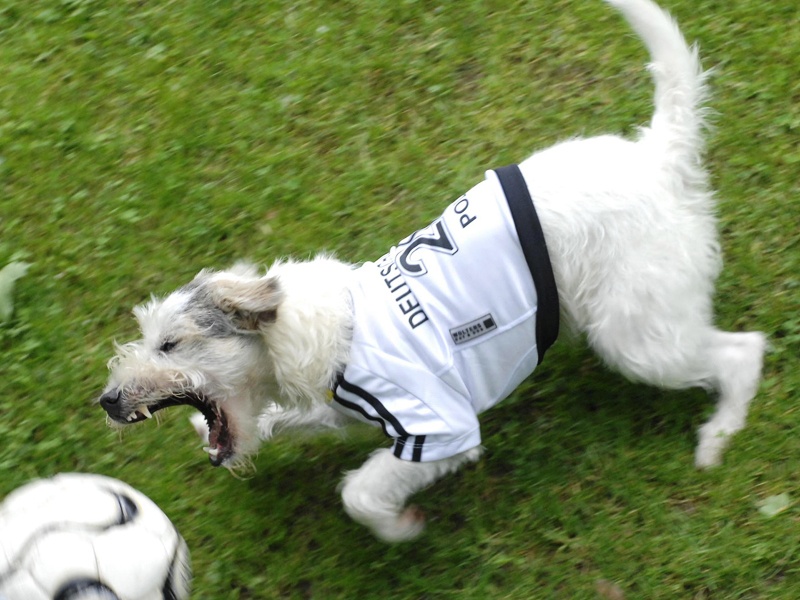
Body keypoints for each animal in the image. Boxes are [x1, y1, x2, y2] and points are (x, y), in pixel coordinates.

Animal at [97, 0, 764, 544]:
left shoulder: (438, 430)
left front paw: (401, 527)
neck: (306, 332)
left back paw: (718, 437)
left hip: (638, 340)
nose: (107, 401)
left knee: (744, 351)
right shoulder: (334, 408)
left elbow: (361, 493)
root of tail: (659, 155)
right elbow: (280, 420)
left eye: (171, 343)